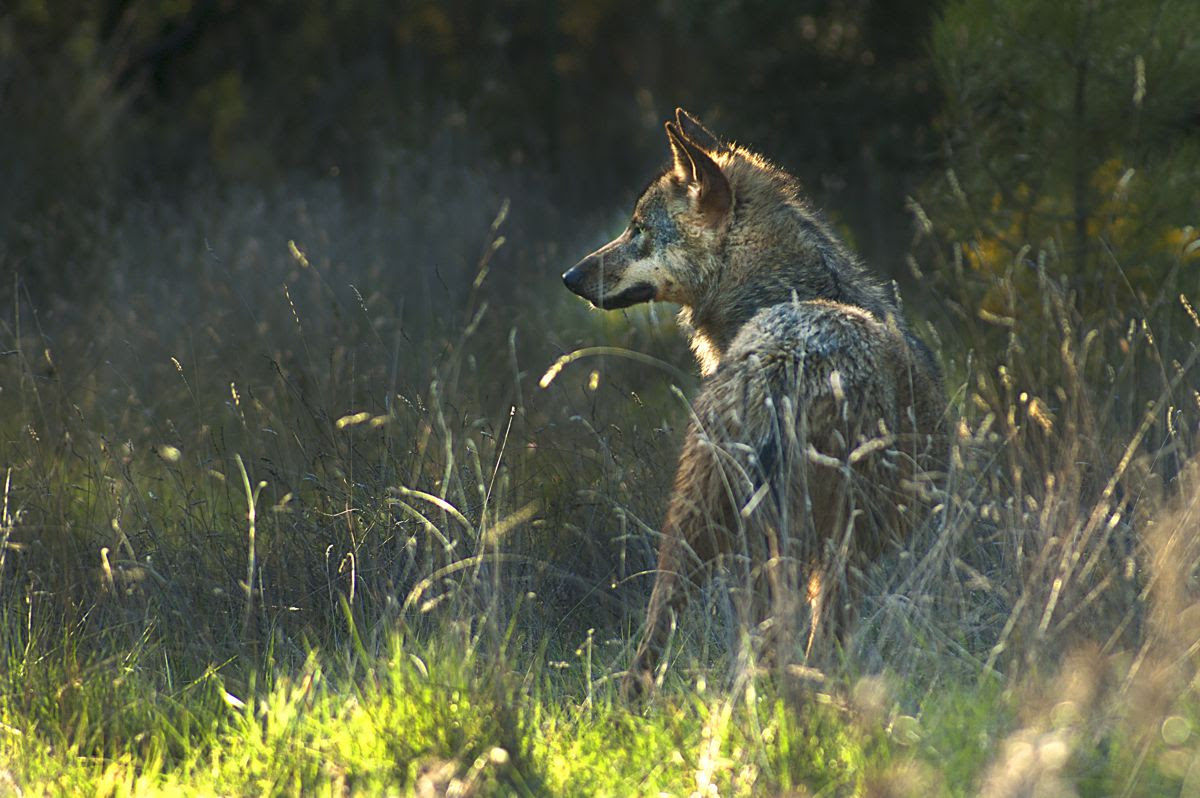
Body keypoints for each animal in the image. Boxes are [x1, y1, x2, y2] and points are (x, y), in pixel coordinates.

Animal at [561, 109, 945, 696]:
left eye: (638, 230)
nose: (569, 277)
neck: (777, 292)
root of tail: (784, 361)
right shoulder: (851, 556)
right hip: (796, 543)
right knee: (790, 646)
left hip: (701, 529)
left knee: (659, 637)